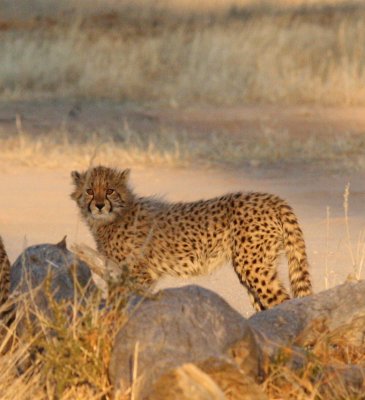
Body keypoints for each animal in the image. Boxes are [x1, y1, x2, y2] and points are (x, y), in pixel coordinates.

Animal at [70, 165, 310, 310]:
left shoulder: (140, 274)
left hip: (252, 265)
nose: (99, 205)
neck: (113, 217)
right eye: (90, 191)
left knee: (281, 301)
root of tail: (270, 197)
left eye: (109, 190)